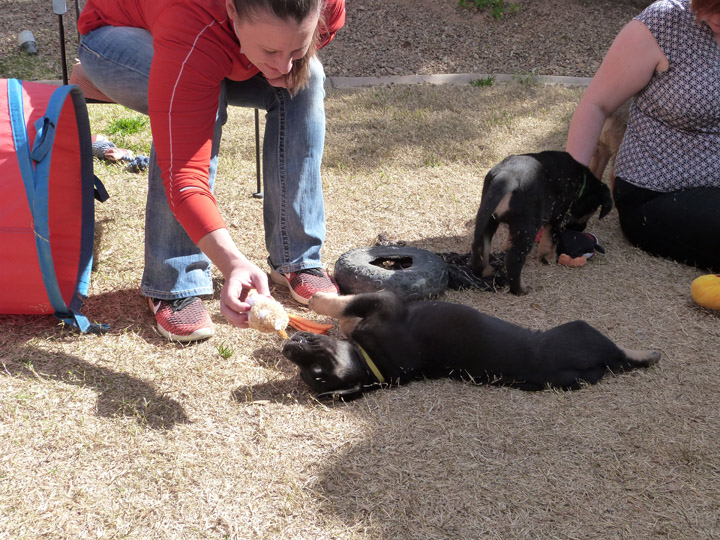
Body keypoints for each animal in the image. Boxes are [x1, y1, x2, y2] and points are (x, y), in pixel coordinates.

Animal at [280, 292, 660, 400]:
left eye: (316, 369)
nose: (287, 350)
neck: (371, 363)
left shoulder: (384, 301)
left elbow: (344, 307)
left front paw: (319, 299)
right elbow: (346, 311)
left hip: (582, 329)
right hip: (583, 335)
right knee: (622, 353)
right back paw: (647, 354)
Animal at [472, 149, 612, 296]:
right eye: (591, 211)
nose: (581, 230)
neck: (581, 184)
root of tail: (507, 176)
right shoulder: (558, 216)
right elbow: (550, 240)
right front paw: (549, 258)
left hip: (488, 216)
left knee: (480, 247)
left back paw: (485, 272)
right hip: (528, 227)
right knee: (513, 260)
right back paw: (520, 289)